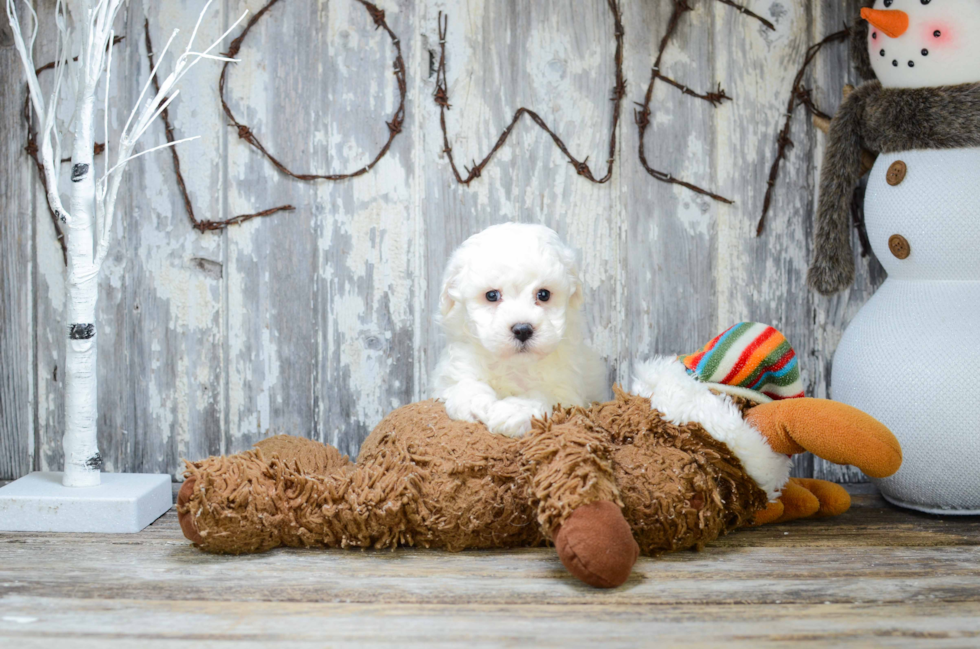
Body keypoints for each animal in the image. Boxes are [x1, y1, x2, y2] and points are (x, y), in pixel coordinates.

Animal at [434, 220, 608, 438]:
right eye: (491, 295)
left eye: (543, 294)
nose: (523, 330)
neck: (514, 365)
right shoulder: (454, 369)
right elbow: (463, 384)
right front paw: (475, 402)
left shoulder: (566, 390)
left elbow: (540, 395)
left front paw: (513, 411)